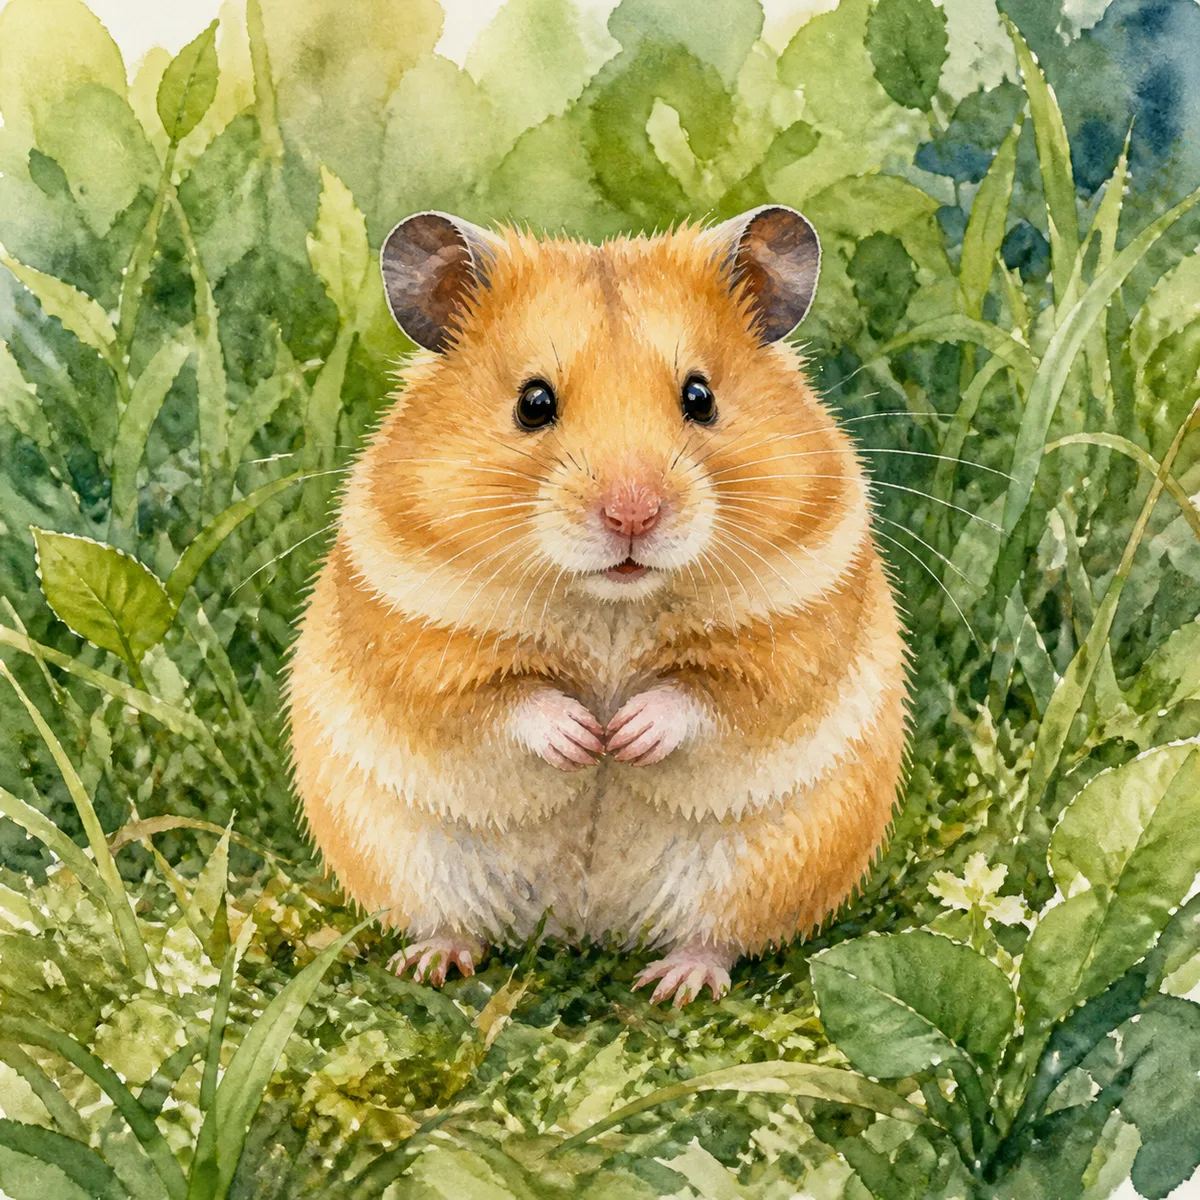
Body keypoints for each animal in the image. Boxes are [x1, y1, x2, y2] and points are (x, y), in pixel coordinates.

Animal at [286, 205, 909, 1006]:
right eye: (534, 403)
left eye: (700, 397)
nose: (632, 515)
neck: (611, 601)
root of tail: (586, 925)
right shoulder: (418, 635)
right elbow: (499, 699)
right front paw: (587, 740)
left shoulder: (795, 625)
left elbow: (713, 692)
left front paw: (626, 737)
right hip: (409, 858)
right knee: (454, 922)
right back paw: (432, 961)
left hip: (767, 864)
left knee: (720, 936)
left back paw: (675, 982)